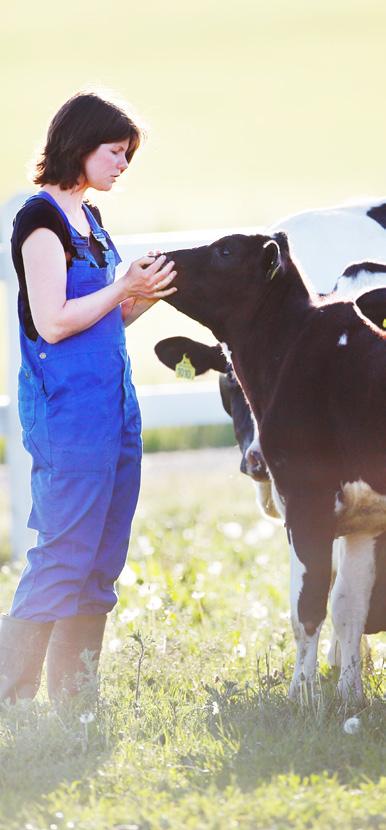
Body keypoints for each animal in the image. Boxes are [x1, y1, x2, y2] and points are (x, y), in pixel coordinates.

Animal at [160, 232, 386, 704]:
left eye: (226, 250)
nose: (163, 255)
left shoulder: (306, 501)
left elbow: (307, 606)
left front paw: (302, 695)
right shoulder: (364, 521)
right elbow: (349, 605)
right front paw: (350, 695)